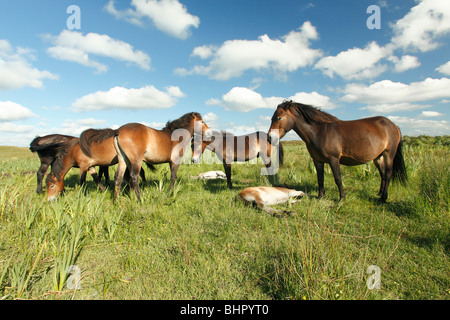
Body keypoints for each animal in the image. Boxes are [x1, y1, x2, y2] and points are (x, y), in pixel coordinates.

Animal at [268, 100, 406, 202]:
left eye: (279, 118)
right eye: (271, 118)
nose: (270, 137)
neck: (320, 132)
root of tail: (393, 125)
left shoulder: (333, 159)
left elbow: (338, 178)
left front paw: (342, 198)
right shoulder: (317, 161)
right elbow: (320, 178)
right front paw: (320, 196)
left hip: (389, 155)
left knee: (388, 174)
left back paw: (383, 198)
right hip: (378, 157)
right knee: (383, 174)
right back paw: (379, 193)